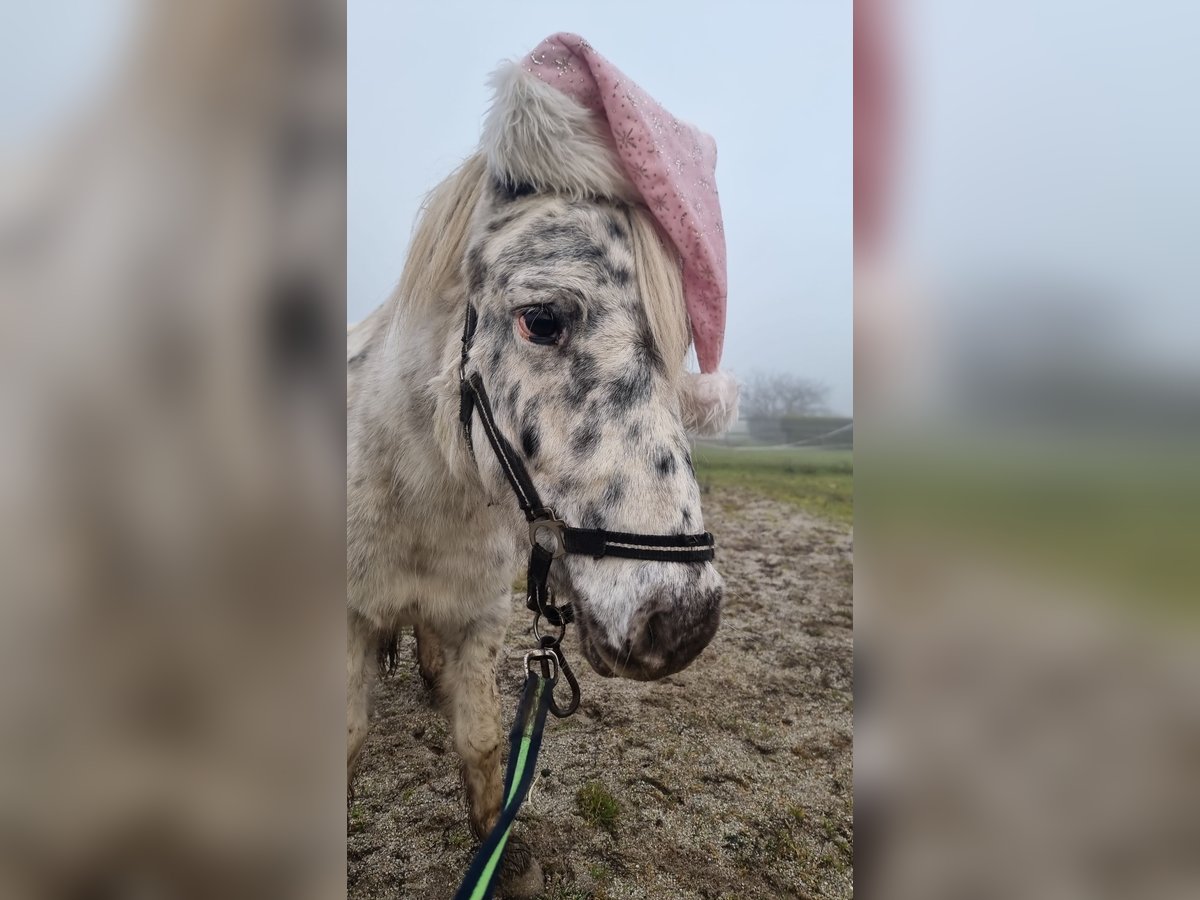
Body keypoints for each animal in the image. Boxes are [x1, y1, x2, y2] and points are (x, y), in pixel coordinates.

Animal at [343, 58, 724, 897]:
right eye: (543, 319)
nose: (681, 623)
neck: (418, 497)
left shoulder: (481, 615)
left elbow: (482, 740)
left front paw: (502, 856)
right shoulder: (349, 620)